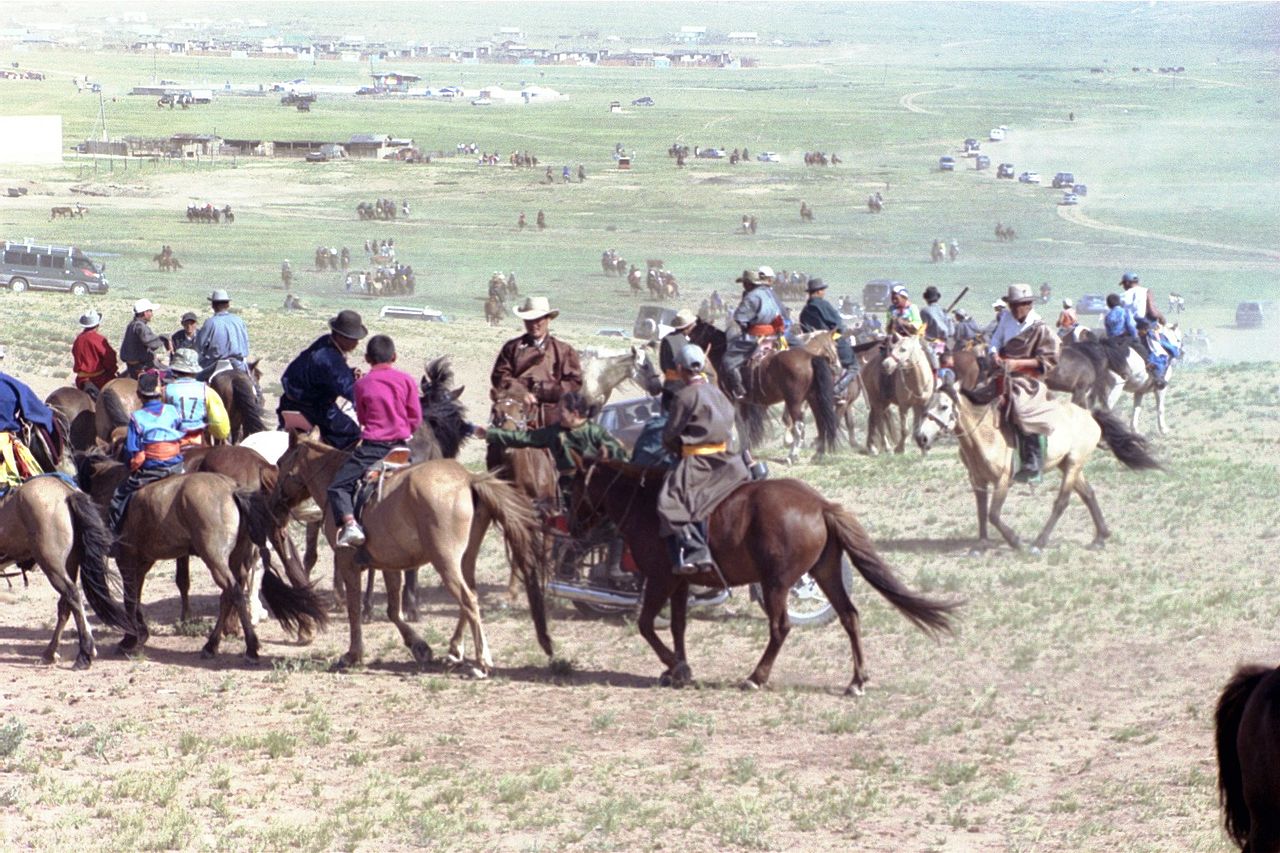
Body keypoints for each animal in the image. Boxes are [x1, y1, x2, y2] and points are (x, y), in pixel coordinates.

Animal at [0, 473, 130, 666]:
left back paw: (85, 653)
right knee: (66, 604)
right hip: (69, 563)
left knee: (72, 595)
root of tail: (68, 493)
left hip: (51, 564)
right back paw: (51, 652)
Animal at [270, 432, 550, 671]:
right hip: (465, 559)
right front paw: (419, 646)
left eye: (281, 461)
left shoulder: (348, 562)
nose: (275, 502)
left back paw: (482, 661)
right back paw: (455, 649)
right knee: (470, 596)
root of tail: (469, 479)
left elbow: (354, 609)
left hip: (445, 561)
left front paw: (353, 654)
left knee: (468, 599)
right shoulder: (389, 564)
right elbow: (393, 610)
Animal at [568, 458, 952, 691]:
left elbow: (647, 624)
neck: (645, 504)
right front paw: (679, 668)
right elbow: (677, 626)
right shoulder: (679, 582)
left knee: (781, 627)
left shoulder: (661, 579)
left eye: (572, 485)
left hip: (776, 584)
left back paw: (757, 676)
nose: (572, 526)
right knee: (849, 616)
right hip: (825, 572)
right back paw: (856, 680)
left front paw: (673, 666)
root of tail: (820, 505)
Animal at [916, 379, 1167, 550]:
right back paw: (1100, 537)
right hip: (1069, 466)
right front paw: (982, 544)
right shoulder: (978, 481)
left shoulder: (1002, 481)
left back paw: (1040, 542)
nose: (921, 438)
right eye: (927, 404)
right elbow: (981, 512)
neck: (987, 435)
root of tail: (1090, 416)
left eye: (944, 407)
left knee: (1061, 502)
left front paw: (1015, 541)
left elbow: (993, 514)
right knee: (1088, 495)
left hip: (1073, 465)